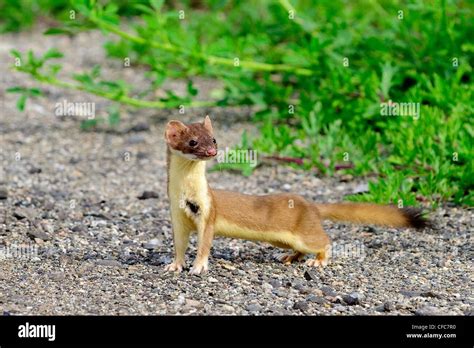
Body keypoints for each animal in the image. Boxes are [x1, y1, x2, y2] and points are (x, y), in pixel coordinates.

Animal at [164, 117, 430, 274]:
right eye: (193, 141)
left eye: (214, 138)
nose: (211, 151)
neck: (184, 194)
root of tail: (311, 204)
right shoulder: (176, 216)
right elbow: (179, 244)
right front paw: (175, 265)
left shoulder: (208, 212)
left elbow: (204, 244)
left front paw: (198, 267)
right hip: (282, 238)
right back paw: (290, 257)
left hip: (306, 234)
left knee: (324, 241)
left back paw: (318, 260)